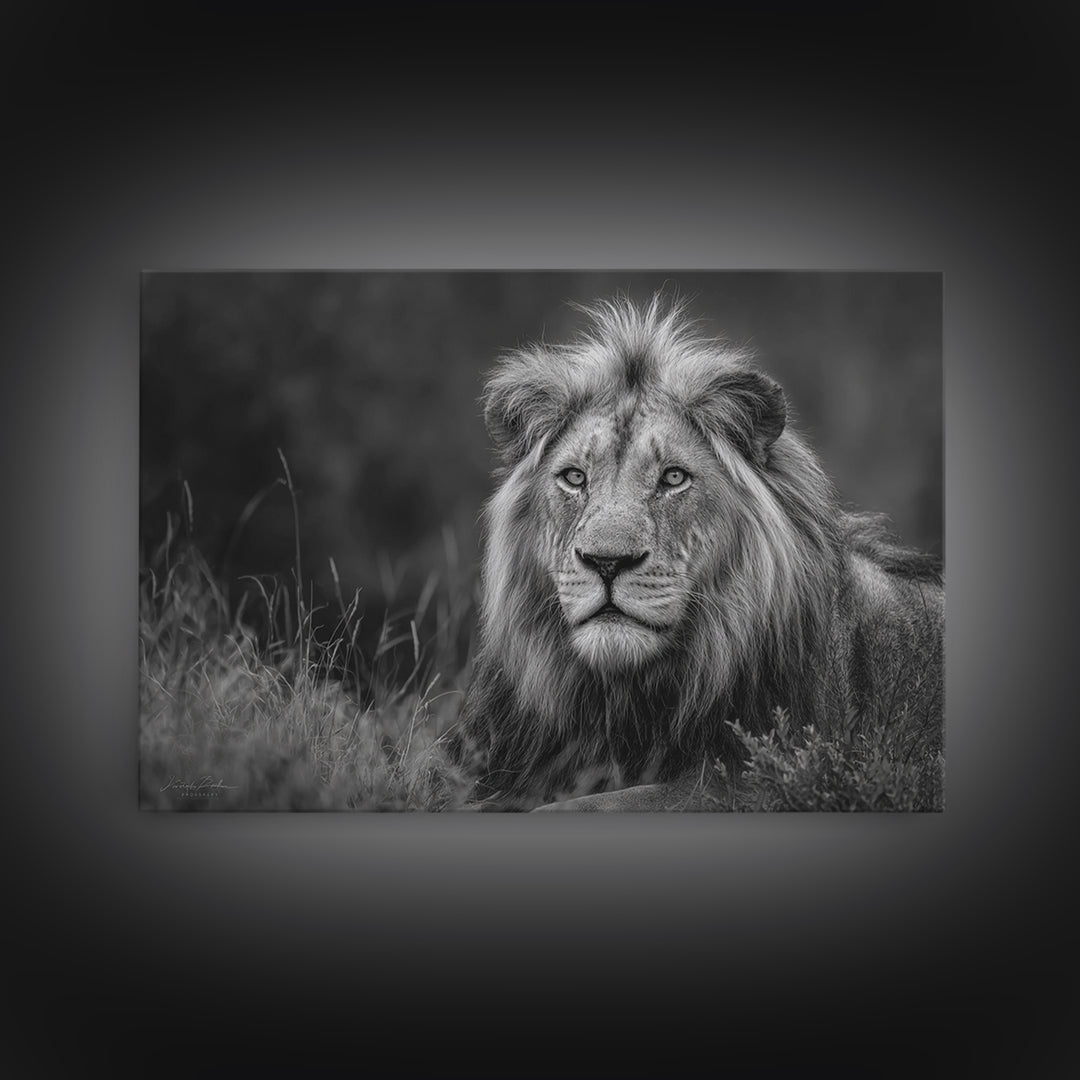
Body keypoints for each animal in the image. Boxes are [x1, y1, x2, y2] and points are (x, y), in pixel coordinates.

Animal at [453, 295, 943, 811]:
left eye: (673, 477)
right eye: (574, 477)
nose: (607, 562)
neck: (621, 701)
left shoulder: (760, 780)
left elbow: (595, 804)